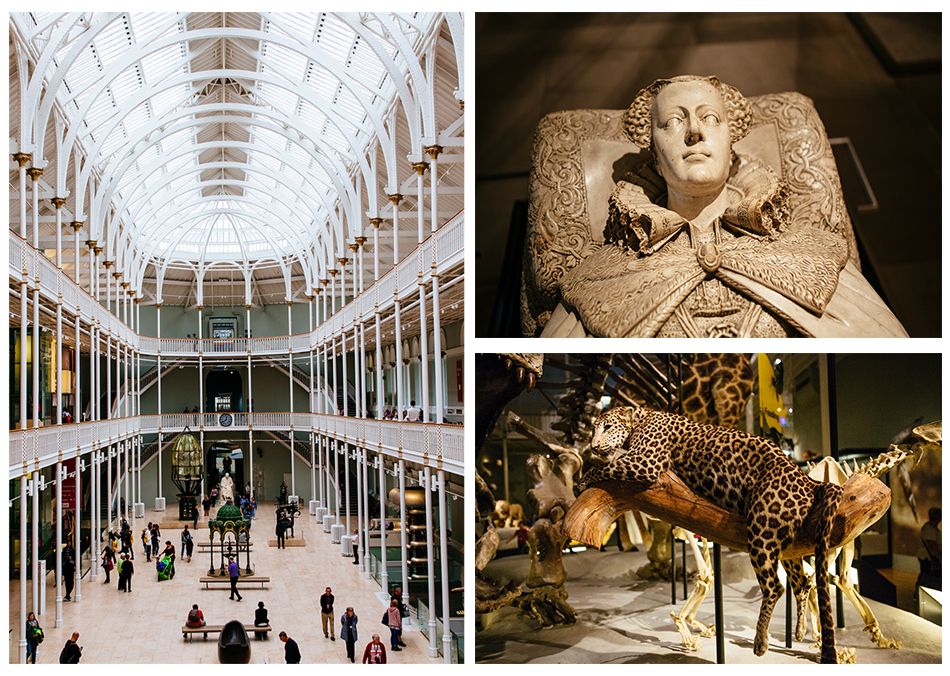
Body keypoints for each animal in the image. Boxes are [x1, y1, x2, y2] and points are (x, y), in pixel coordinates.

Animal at [584, 404, 844, 664]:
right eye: (593, 430)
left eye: (608, 427)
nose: (594, 446)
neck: (640, 419)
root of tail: (808, 480)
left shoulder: (645, 462)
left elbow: (605, 467)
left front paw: (582, 480)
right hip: (787, 545)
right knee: (802, 584)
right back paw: (799, 631)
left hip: (761, 529)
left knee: (775, 587)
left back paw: (761, 642)